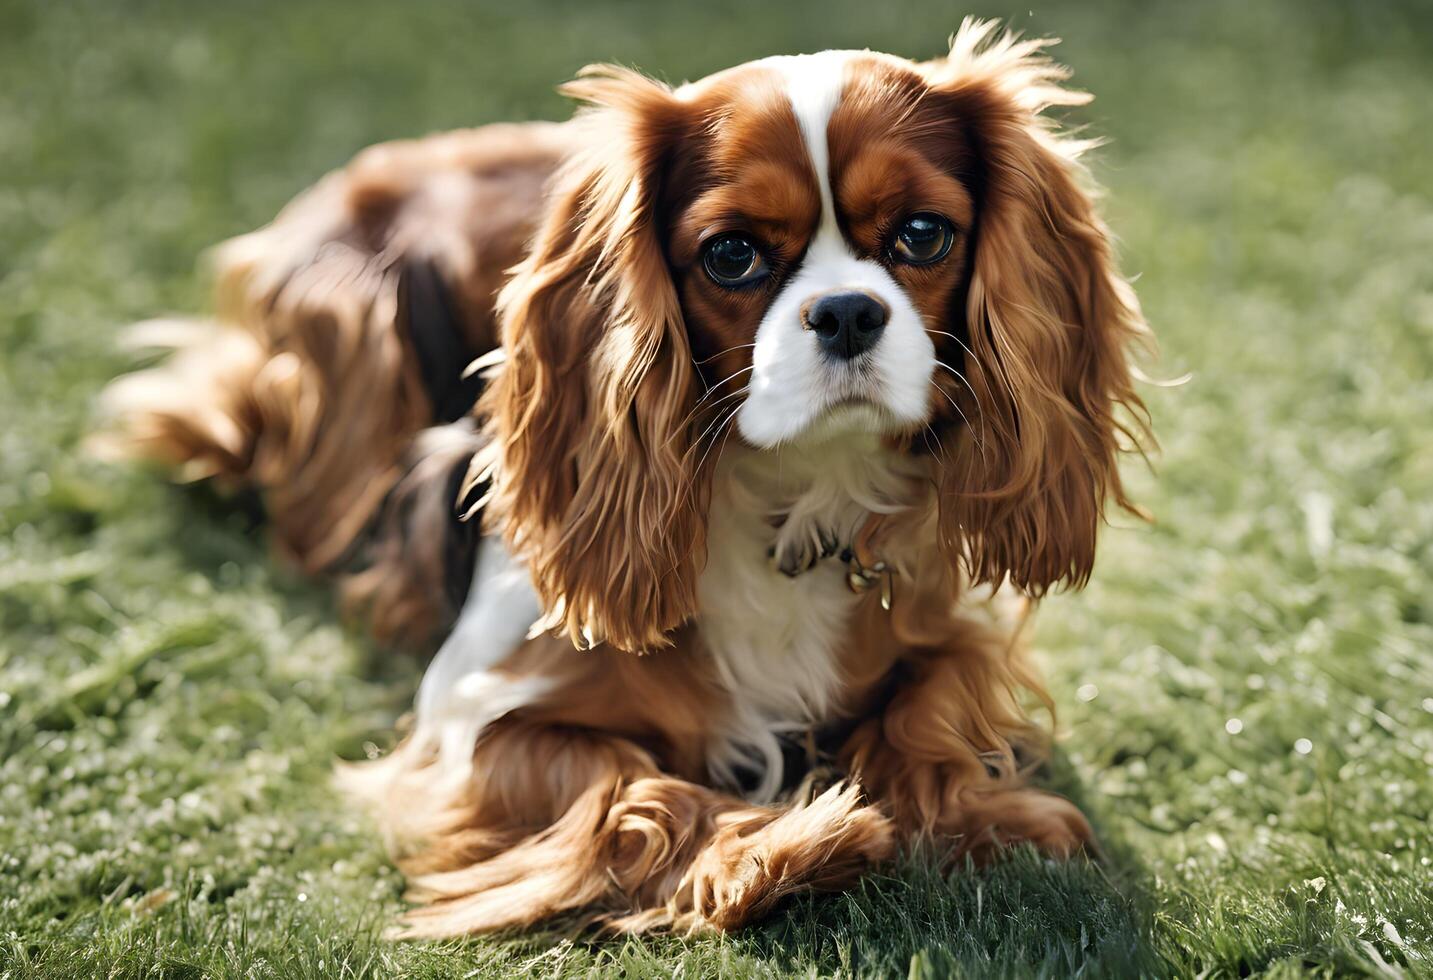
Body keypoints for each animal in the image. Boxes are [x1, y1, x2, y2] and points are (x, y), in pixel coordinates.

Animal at [98, 22, 1152, 939]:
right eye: (731, 254)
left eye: (924, 236)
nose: (848, 312)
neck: (791, 494)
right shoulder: (468, 719)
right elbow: (622, 786)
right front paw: (775, 851)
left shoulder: (946, 624)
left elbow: (933, 703)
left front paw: (985, 815)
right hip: (340, 341)